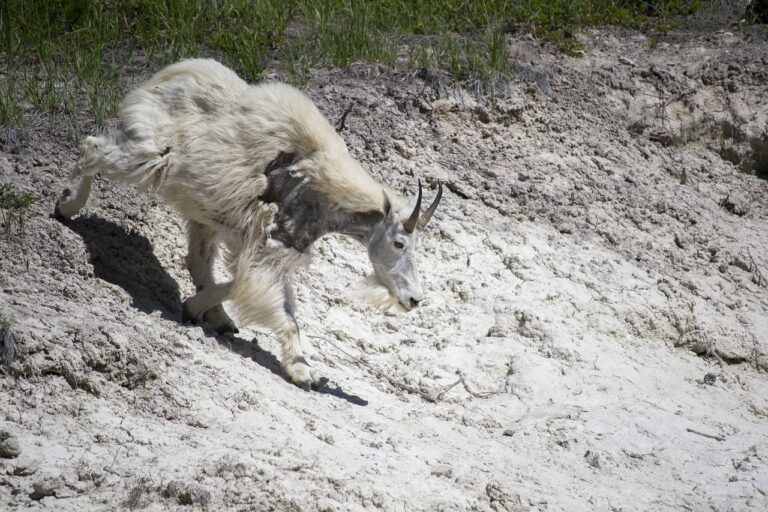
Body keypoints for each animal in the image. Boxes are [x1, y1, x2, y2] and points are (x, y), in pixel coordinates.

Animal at [54, 58, 440, 390]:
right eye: (399, 243)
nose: (414, 299)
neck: (322, 188)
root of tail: (169, 74)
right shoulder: (269, 244)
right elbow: (275, 304)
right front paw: (304, 372)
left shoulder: (264, 244)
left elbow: (247, 286)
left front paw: (198, 309)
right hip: (151, 156)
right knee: (93, 147)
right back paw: (67, 205)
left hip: (202, 210)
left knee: (197, 260)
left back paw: (219, 318)